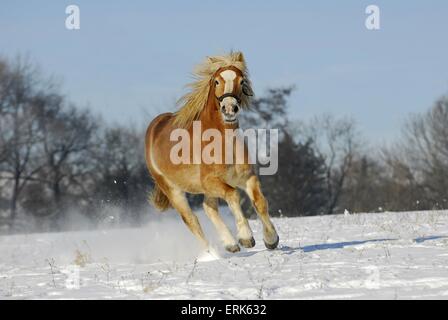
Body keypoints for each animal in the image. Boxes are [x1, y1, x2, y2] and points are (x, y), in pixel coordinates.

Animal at [145, 52, 278, 252]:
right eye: (216, 81)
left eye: (241, 81)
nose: (229, 108)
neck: (223, 142)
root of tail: (154, 127)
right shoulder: (211, 181)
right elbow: (233, 195)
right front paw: (246, 237)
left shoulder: (247, 177)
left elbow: (260, 202)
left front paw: (271, 239)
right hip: (173, 189)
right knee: (192, 220)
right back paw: (212, 253)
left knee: (208, 208)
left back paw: (230, 244)